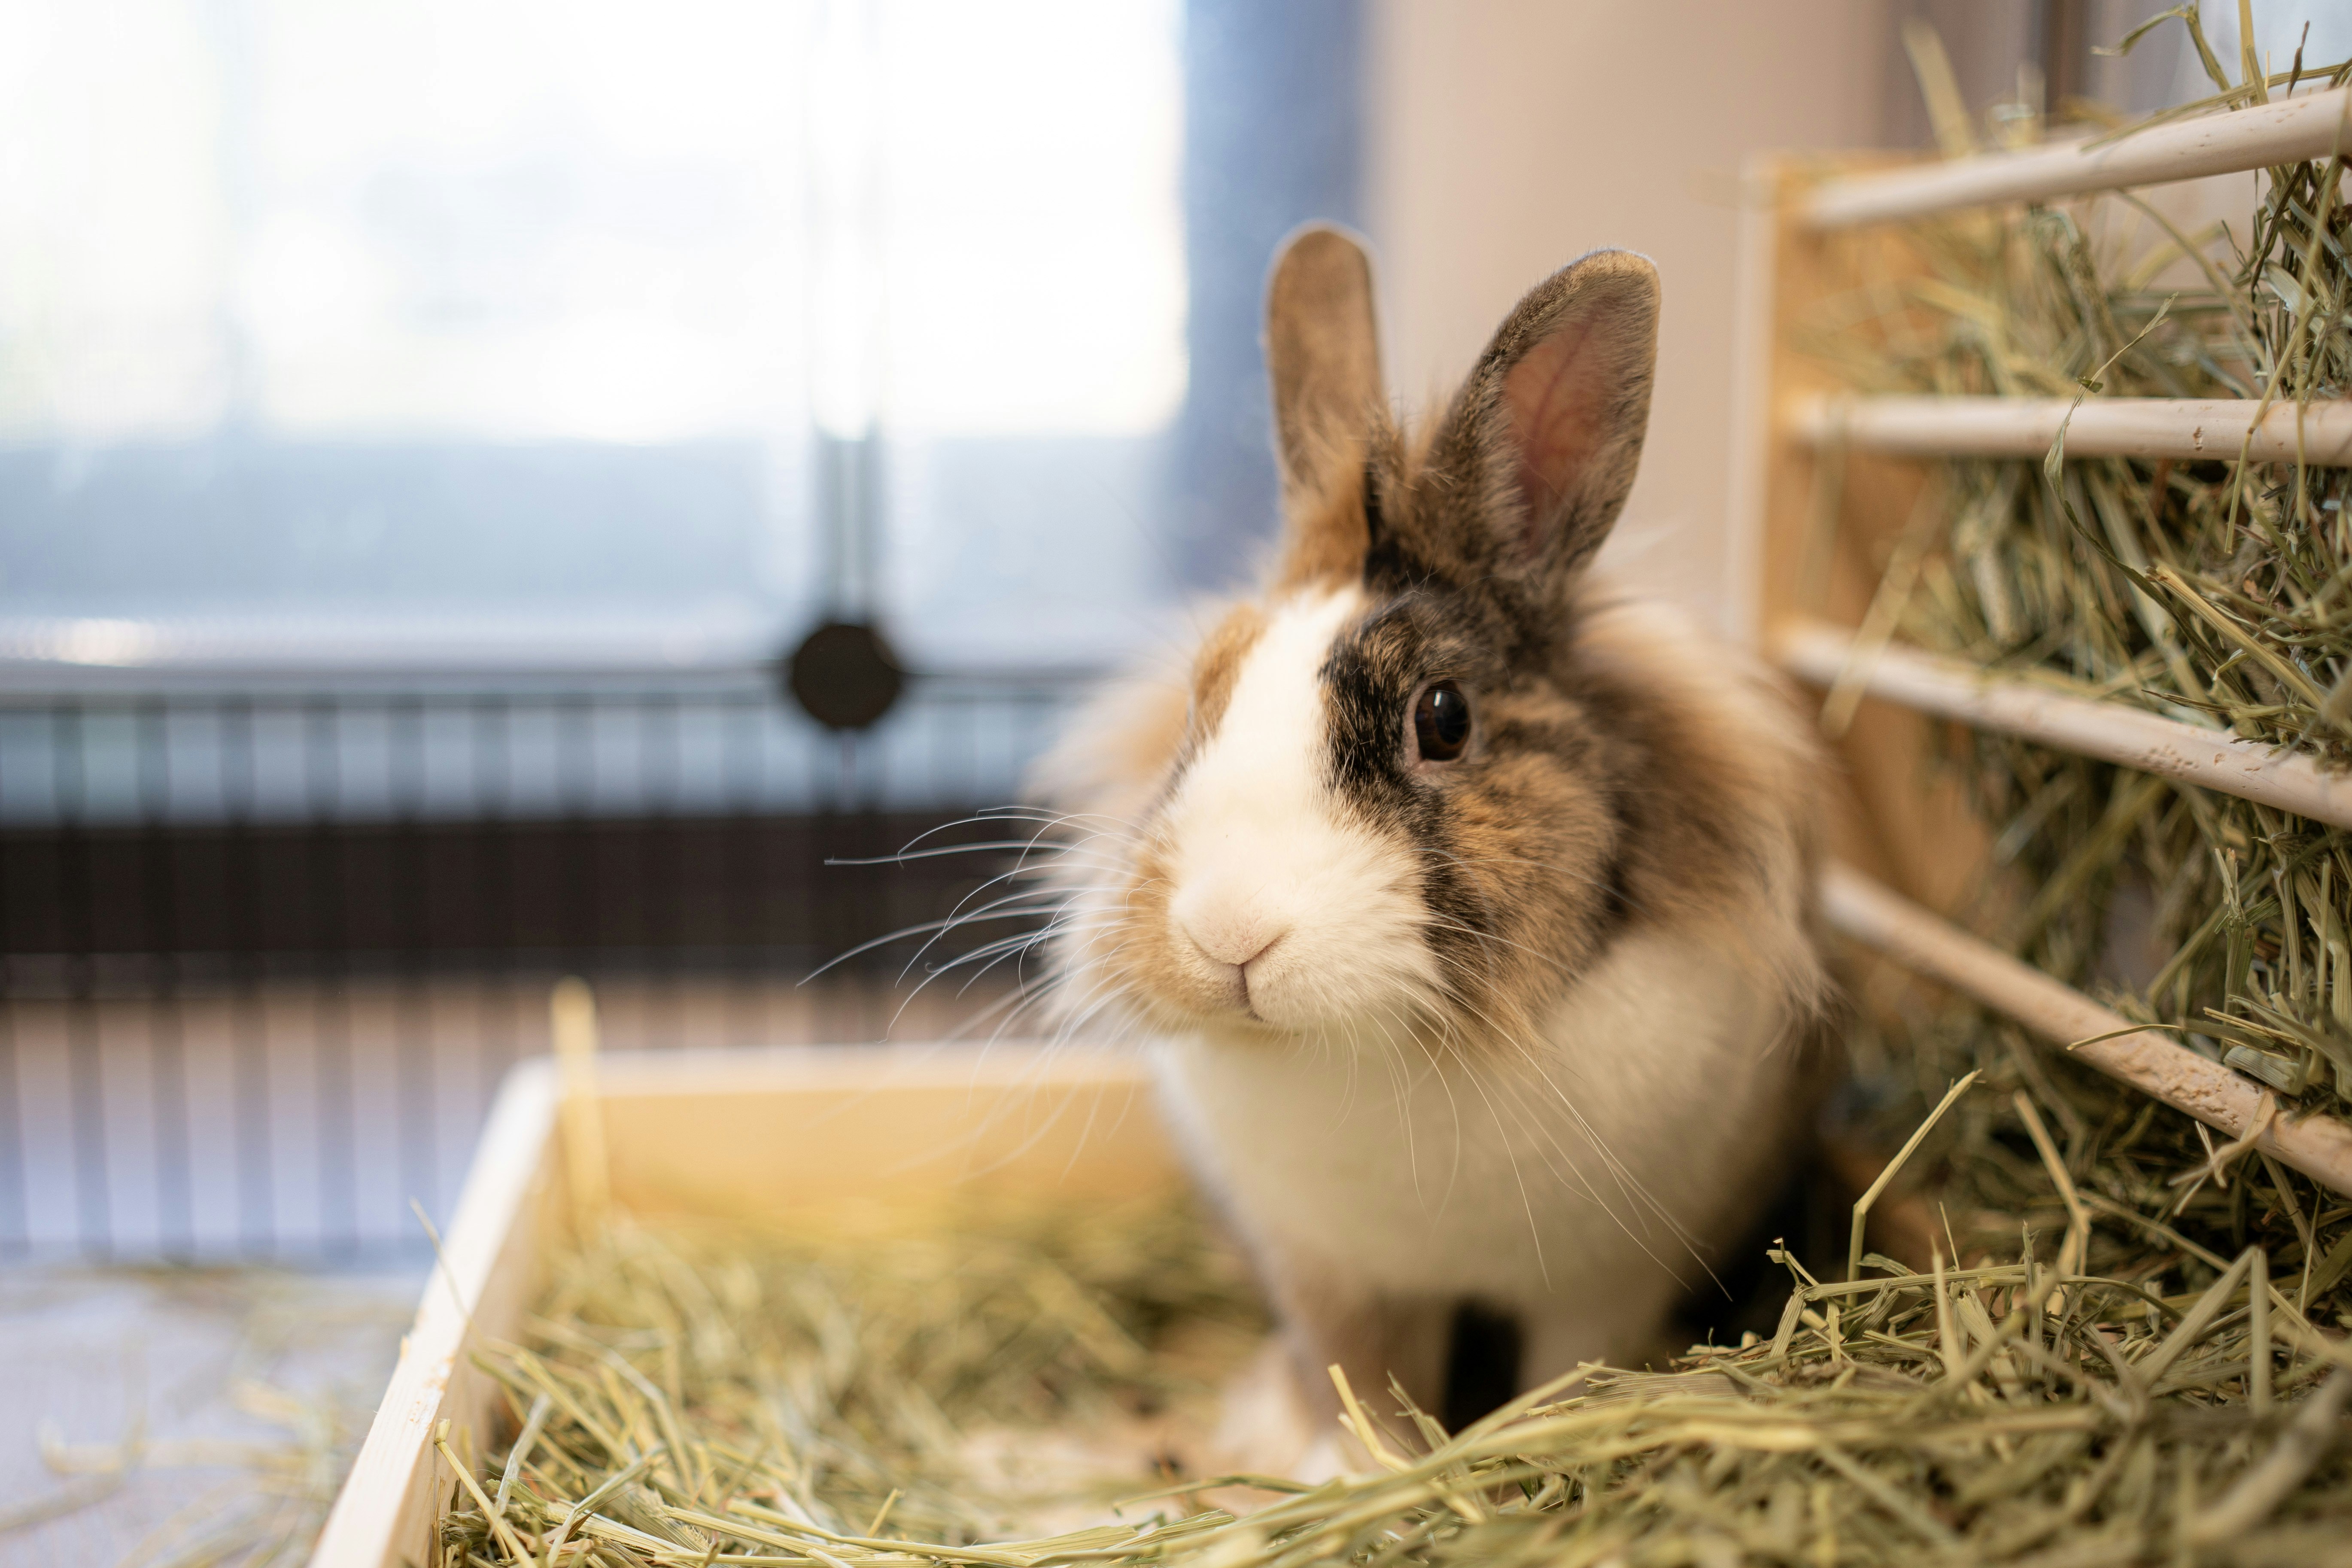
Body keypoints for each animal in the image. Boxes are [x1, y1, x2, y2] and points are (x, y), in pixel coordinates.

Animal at [1029, 225, 1830, 1440]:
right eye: (1201, 697)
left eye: (1442, 718)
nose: (1228, 933)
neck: (1391, 1047)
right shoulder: (1334, 1274)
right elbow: (1356, 1375)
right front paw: (1348, 1455)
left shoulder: (1604, 1282)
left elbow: (1570, 1368)